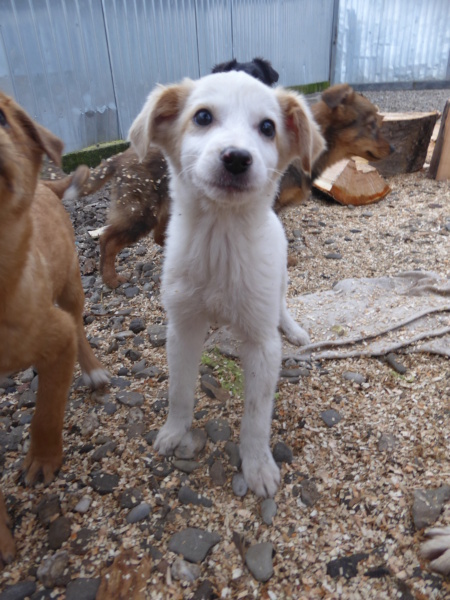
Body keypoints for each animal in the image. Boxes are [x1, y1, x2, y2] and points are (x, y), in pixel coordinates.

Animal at [128, 71, 326, 496]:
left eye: (267, 127)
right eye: (202, 117)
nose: (237, 157)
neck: (220, 241)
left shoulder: (263, 344)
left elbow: (256, 416)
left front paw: (257, 466)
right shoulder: (182, 327)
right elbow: (179, 391)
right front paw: (174, 432)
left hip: (278, 281)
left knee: (282, 305)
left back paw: (294, 329)